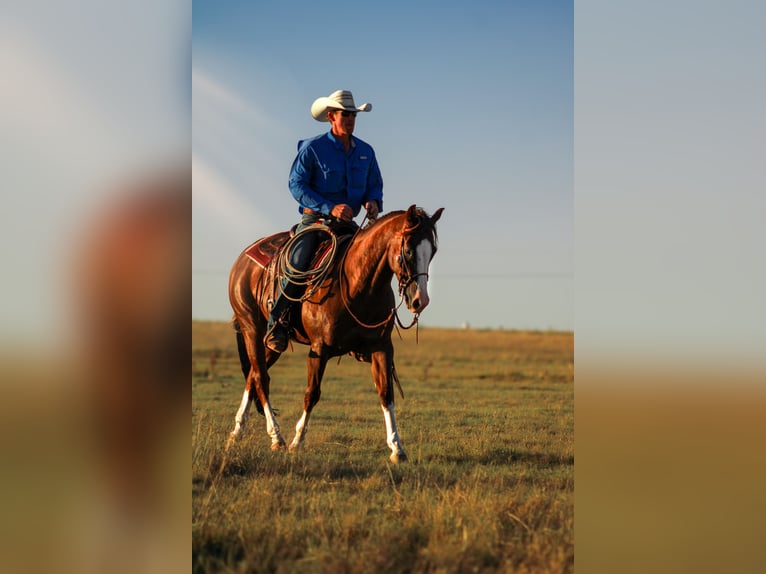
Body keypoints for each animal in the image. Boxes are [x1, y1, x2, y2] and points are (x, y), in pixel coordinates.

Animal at [226, 206, 444, 464]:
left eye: (432, 251)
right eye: (409, 250)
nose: (420, 300)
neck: (356, 285)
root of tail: (243, 259)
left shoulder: (382, 348)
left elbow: (385, 393)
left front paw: (396, 448)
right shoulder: (319, 350)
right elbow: (312, 393)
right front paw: (297, 442)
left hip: (270, 344)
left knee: (252, 376)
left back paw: (237, 433)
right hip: (251, 328)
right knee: (261, 378)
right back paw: (276, 437)